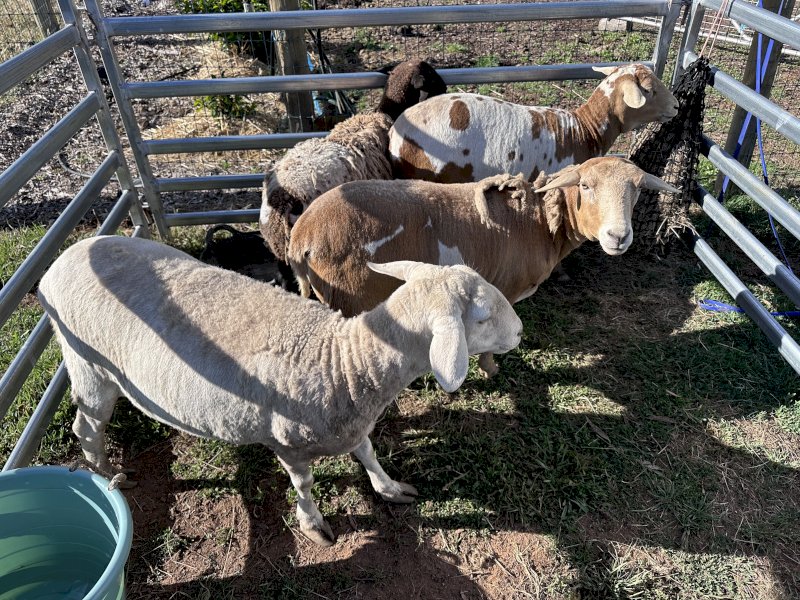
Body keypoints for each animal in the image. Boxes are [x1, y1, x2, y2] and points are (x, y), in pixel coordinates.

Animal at [38, 236, 521, 547]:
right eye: (480, 317)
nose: (519, 331)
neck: (344, 360)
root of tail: (63, 258)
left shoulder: (349, 420)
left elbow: (367, 452)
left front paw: (389, 488)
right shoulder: (289, 443)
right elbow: (304, 484)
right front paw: (313, 524)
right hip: (89, 367)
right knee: (87, 427)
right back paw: (106, 474)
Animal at [287, 156, 679, 376]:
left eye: (638, 190)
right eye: (585, 185)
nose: (618, 236)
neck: (538, 222)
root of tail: (300, 239)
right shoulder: (504, 288)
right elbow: (493, 340)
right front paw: (492, 368)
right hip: (350, 297)